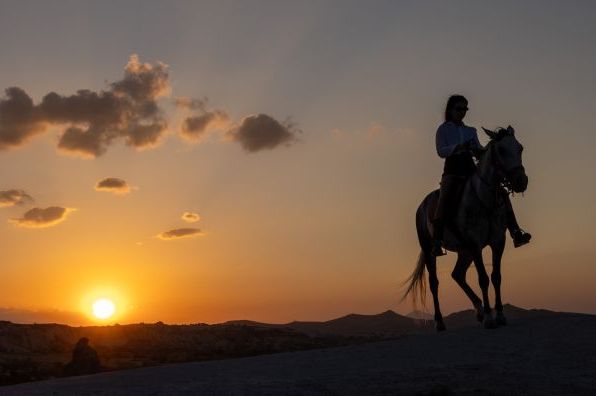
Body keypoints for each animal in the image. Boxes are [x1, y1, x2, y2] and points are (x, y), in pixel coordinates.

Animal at [400, 125, 528, 330]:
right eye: (501, 150)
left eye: (520, 148)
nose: (521, 181)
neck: (484, 199)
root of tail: (421, 207)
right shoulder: (475, 245)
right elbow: (483, 278)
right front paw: (490, 318)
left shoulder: (498, 242)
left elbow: (496, 277)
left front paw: (499, 315)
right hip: (430, 250)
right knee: (434, 282)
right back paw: (440, 322)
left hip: (464, 251)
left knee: (457, 274)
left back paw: (479, 310)